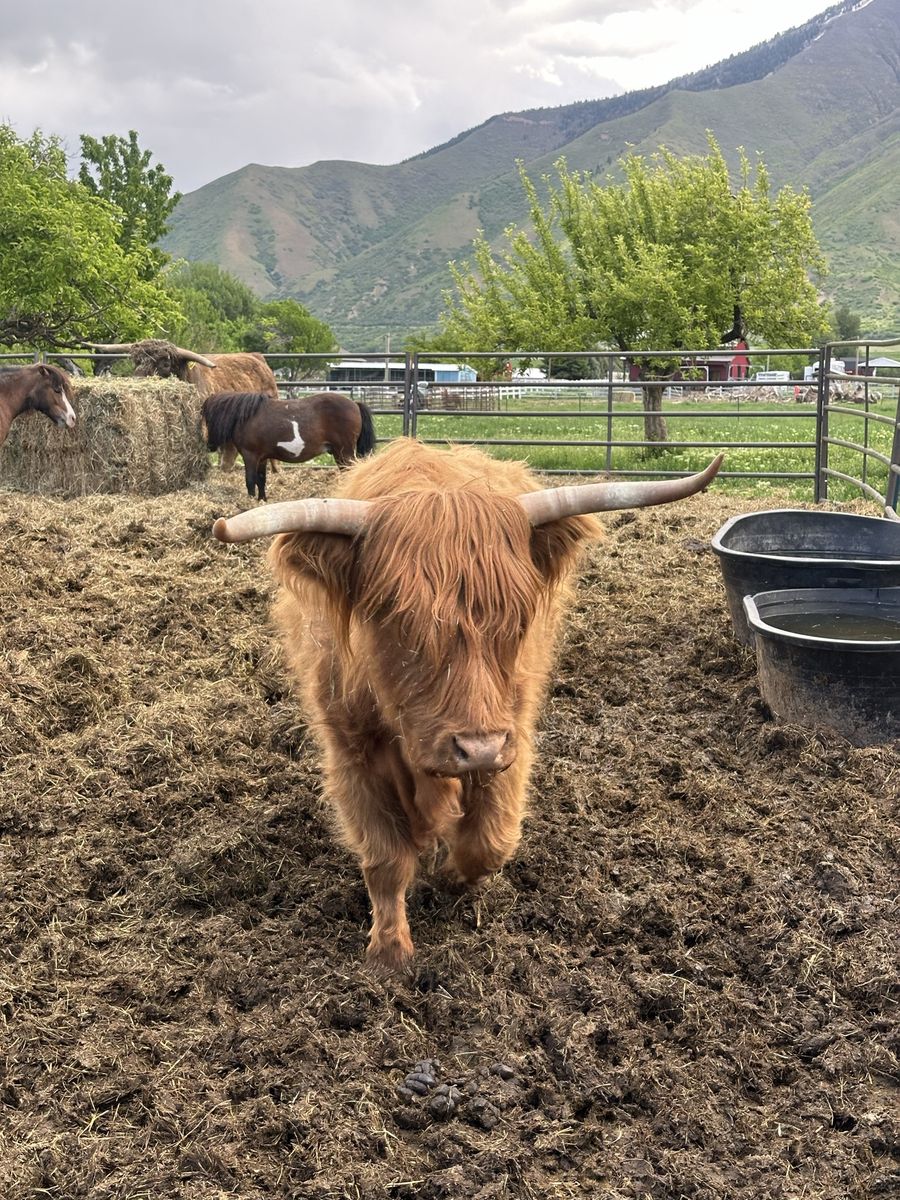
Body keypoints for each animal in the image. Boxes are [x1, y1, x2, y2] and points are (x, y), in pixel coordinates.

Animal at [213, 438, 723, 973]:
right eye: (398, 618)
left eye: (518, 618)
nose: (477, 748)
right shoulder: (350, 748)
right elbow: (386, 858)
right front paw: (389, 953)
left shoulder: (511, 732)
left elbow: (489, 841)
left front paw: (455, 877)